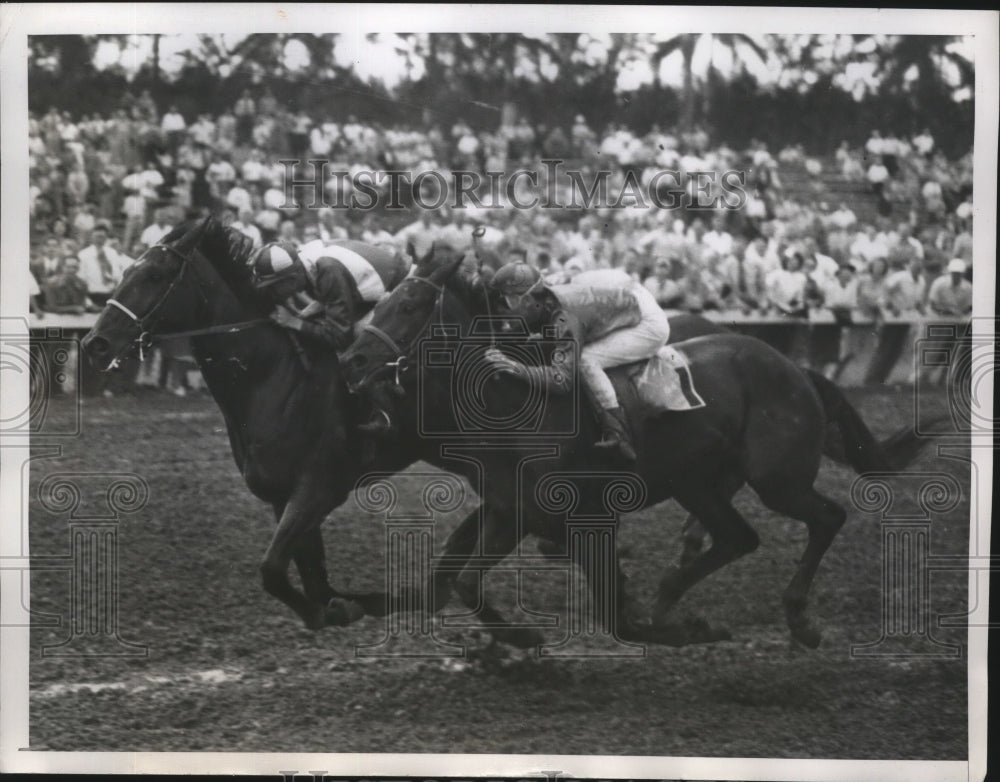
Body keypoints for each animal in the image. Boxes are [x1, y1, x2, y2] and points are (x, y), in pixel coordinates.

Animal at [80, 217, 402, 632]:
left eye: (154, 275)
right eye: (123, 272)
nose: (95, 343)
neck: (275, 375)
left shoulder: (320, 486)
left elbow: (273, 569)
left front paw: (328, 610)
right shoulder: (283, 494)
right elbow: (310, 572)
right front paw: (335, 608)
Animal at [340, 248, 924, 652]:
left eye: (408, 304)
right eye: (381, 302)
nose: (351, 359)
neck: (513, 402)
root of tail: (794, 367)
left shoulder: (575, 515)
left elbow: (613, 615)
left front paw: (685, 627)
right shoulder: (512, 509)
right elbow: (459, 580)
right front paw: (521, 637)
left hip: (777, 477)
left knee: (826, 518)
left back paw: (797, 619)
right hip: (698, 482)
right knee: (737, 537)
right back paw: (671, 598)